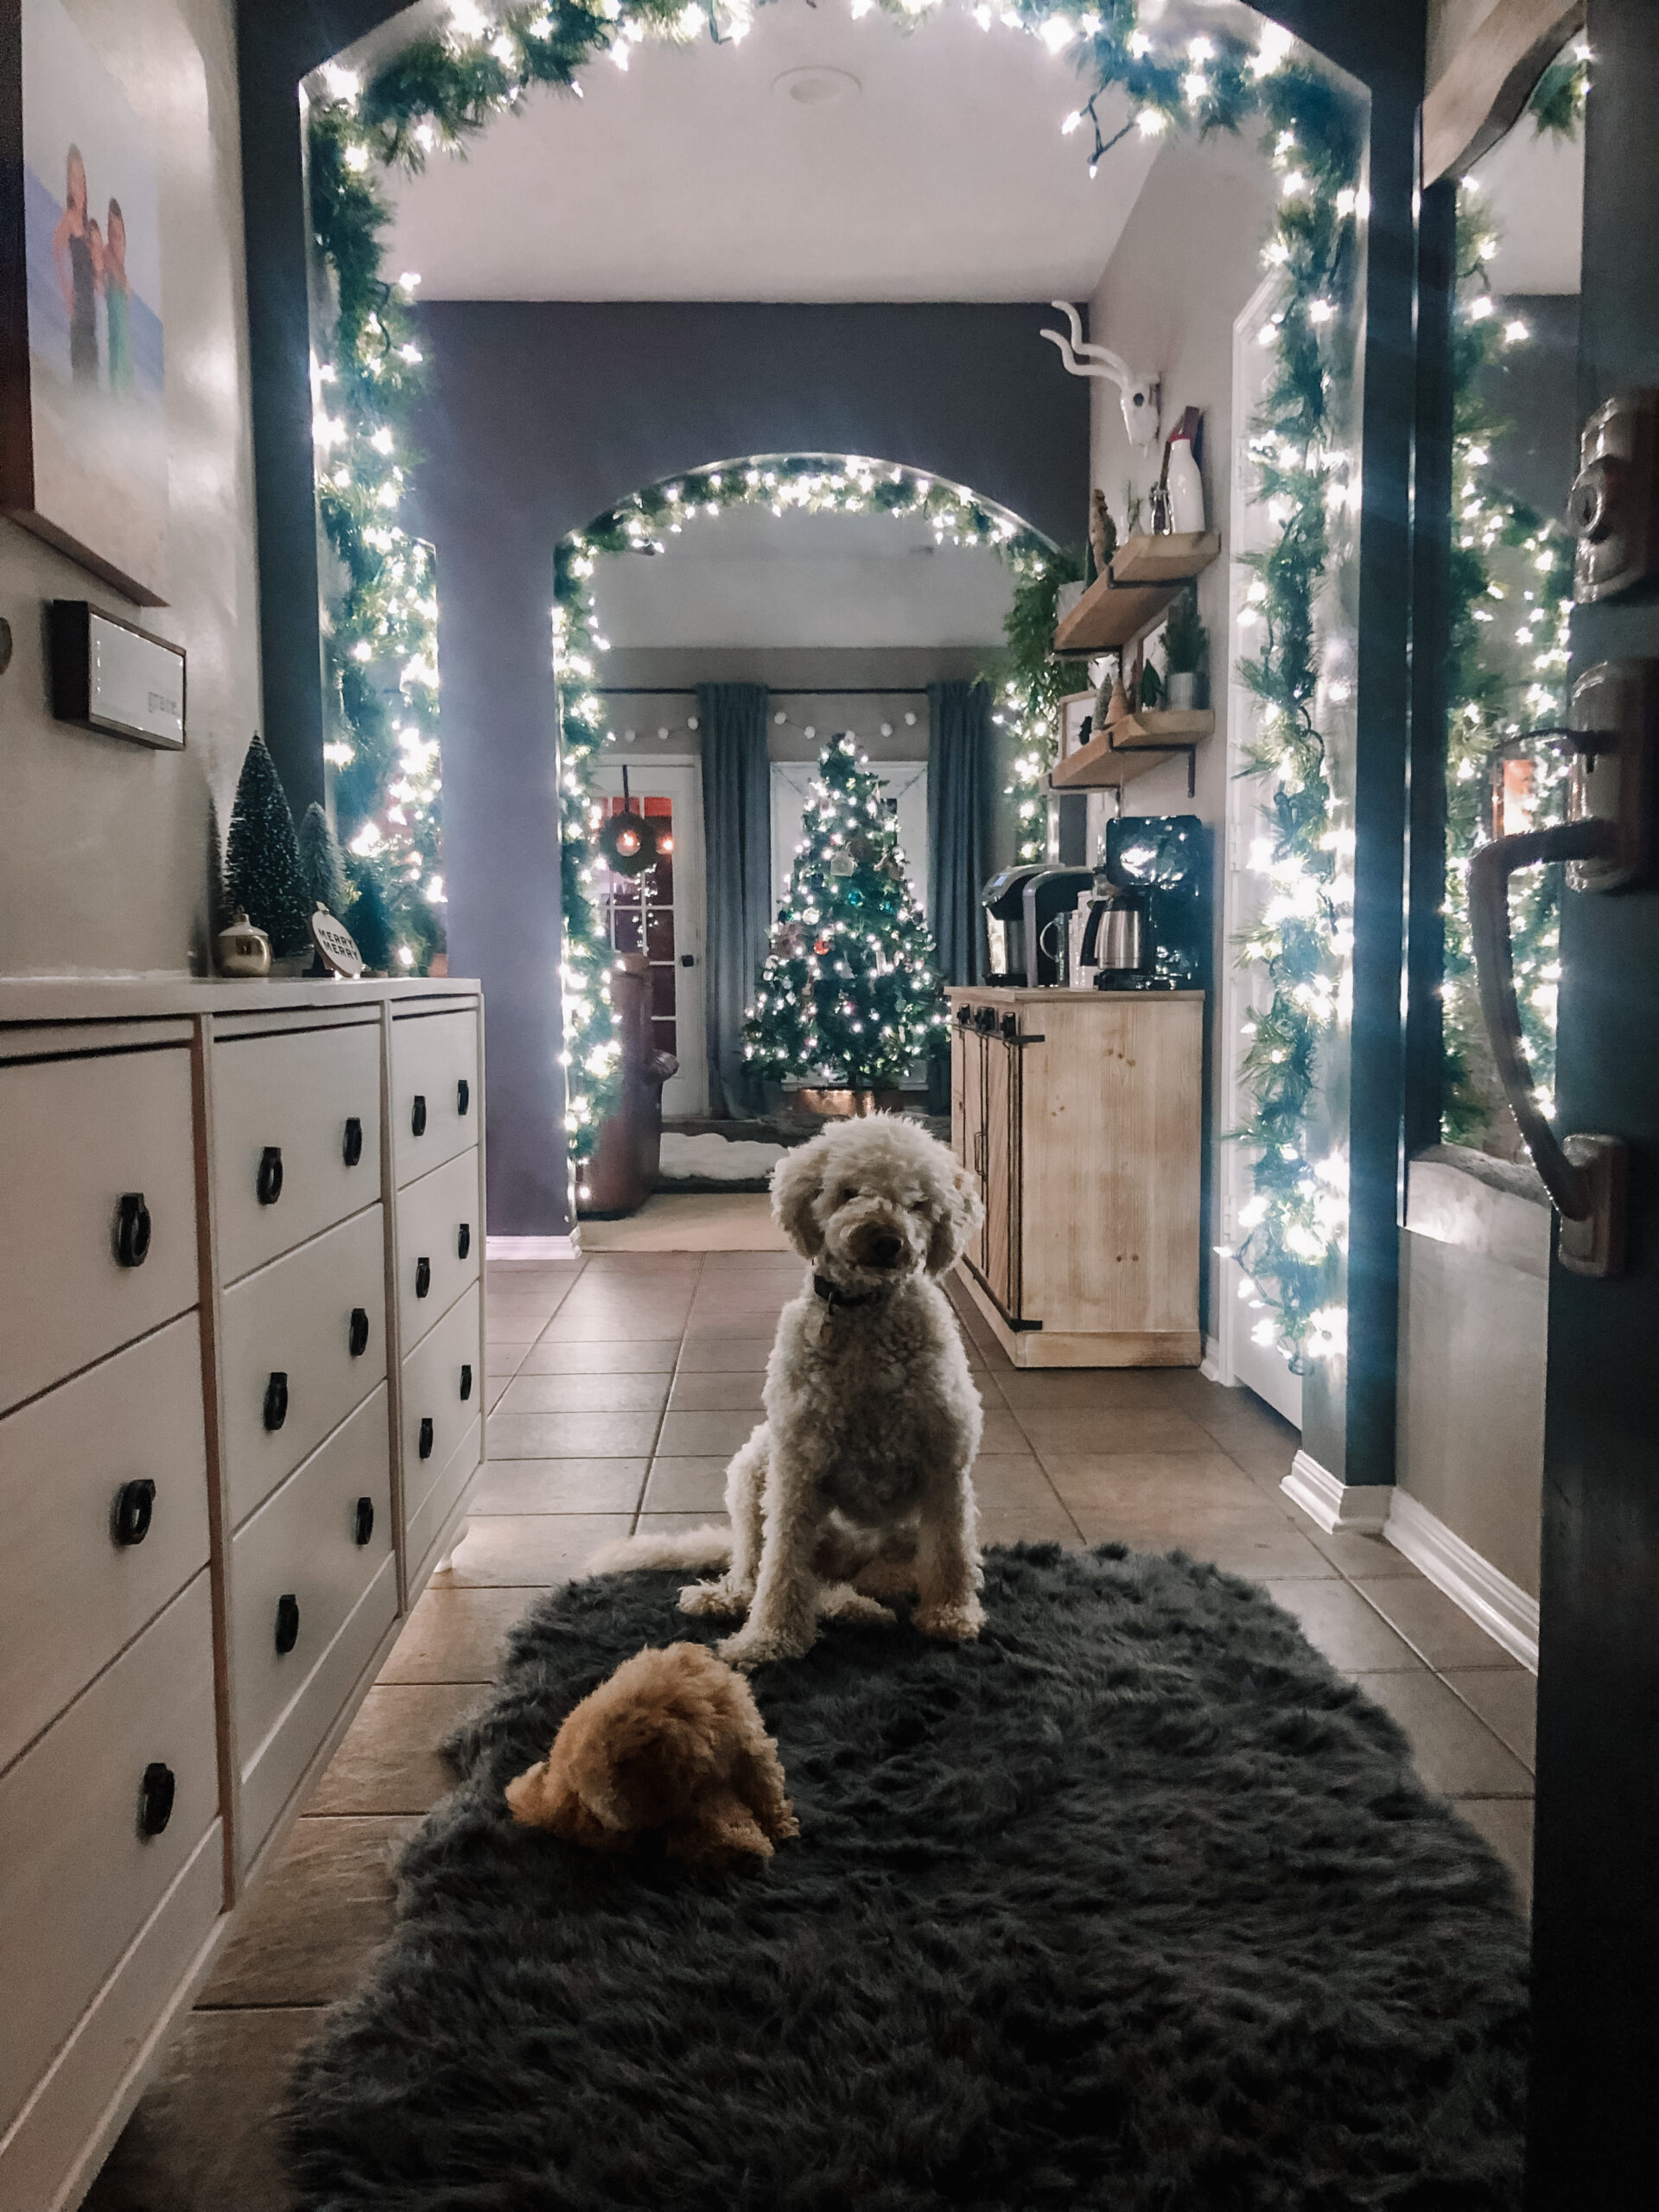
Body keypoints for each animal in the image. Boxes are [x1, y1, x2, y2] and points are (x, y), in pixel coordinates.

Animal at [593, 1115, 986, 1663]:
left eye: (918, 1202)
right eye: (848, 1192)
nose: (885, 1240)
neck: (865, 1317)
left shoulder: (945, 1462)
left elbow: (950, 1551)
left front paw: (951, 1615)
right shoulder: (798, 1467)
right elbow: (781, 1566)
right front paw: (770, 1638)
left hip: (883, 1548)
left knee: (864, 1581)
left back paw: (857, 1607)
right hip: (755, 1466)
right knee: (757, 1566)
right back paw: (731, 1597)